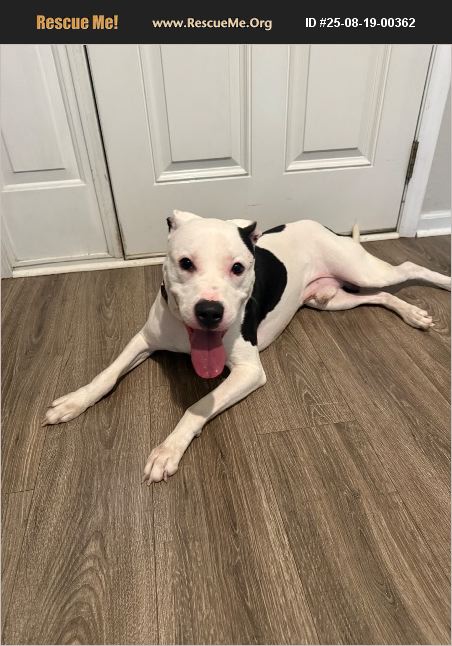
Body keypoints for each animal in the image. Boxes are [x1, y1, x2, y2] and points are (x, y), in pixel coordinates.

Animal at [43, 211, 451, 483]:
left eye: (238, 268)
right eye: (185, 263)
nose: (210, 311)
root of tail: (321, 225)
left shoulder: (249, 371)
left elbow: (196, 406)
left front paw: (168, 449)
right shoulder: (143, 339)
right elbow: (107, 375)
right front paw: (74, 401)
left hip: (361, 269)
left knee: (409, 267)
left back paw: (441, 284)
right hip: (332, 300)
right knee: (380, 296)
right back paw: (412, 313)